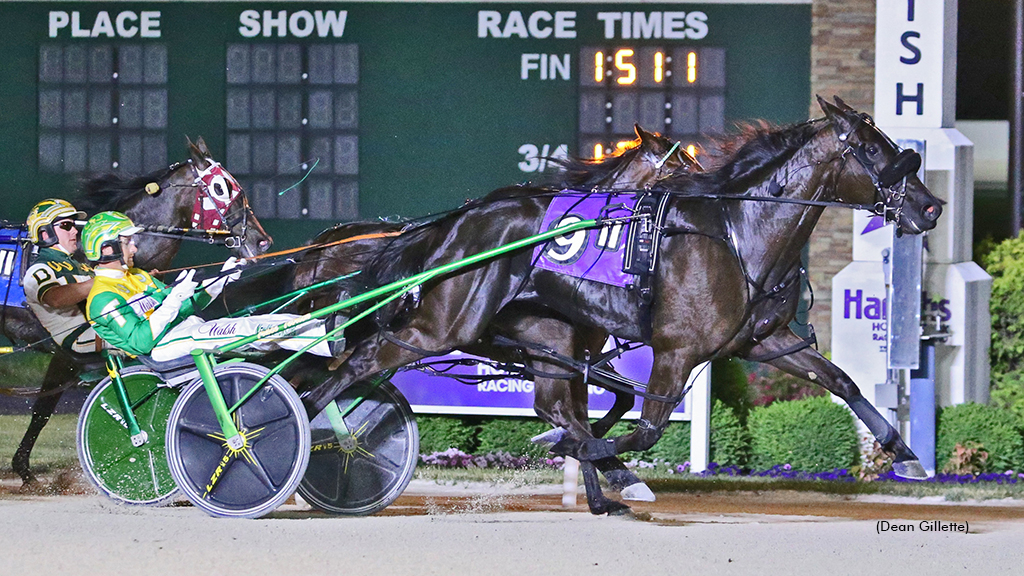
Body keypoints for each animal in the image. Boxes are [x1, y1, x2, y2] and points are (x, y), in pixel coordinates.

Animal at [301, 96, 942, 512]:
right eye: (875, 149)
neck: (737, 232)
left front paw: (906, 455)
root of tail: (458, 221)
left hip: (539, 333)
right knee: (359, 362)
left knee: (546, 401)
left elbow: (842, 382)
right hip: (443, 325)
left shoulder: (764, 340)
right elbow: (645, 428)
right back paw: (295, 421)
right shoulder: (676, 349)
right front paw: (605, 467)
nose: (931, 206)